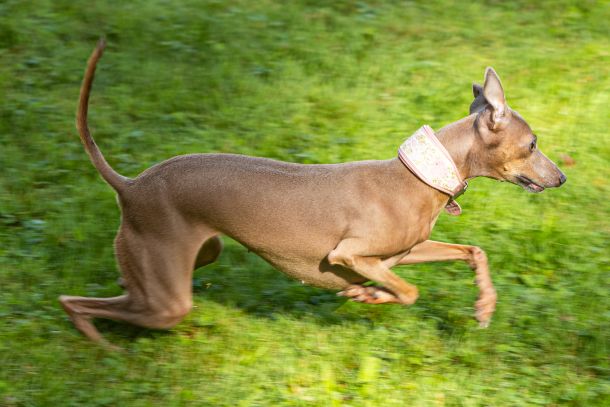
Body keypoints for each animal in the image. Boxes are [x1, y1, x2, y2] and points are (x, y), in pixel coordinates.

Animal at [60, 40, 566, 347]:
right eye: (533, 144)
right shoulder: (352, 255)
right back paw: (103, 346)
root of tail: (130, 184)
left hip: (198, 254)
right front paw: (369, 298)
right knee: (75, 302)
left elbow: (472, 251)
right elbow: (408, 291)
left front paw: (484, 306)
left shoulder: (407, 251)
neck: (421, 176)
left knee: (119, 291)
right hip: (169, 301)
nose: (562, 177)